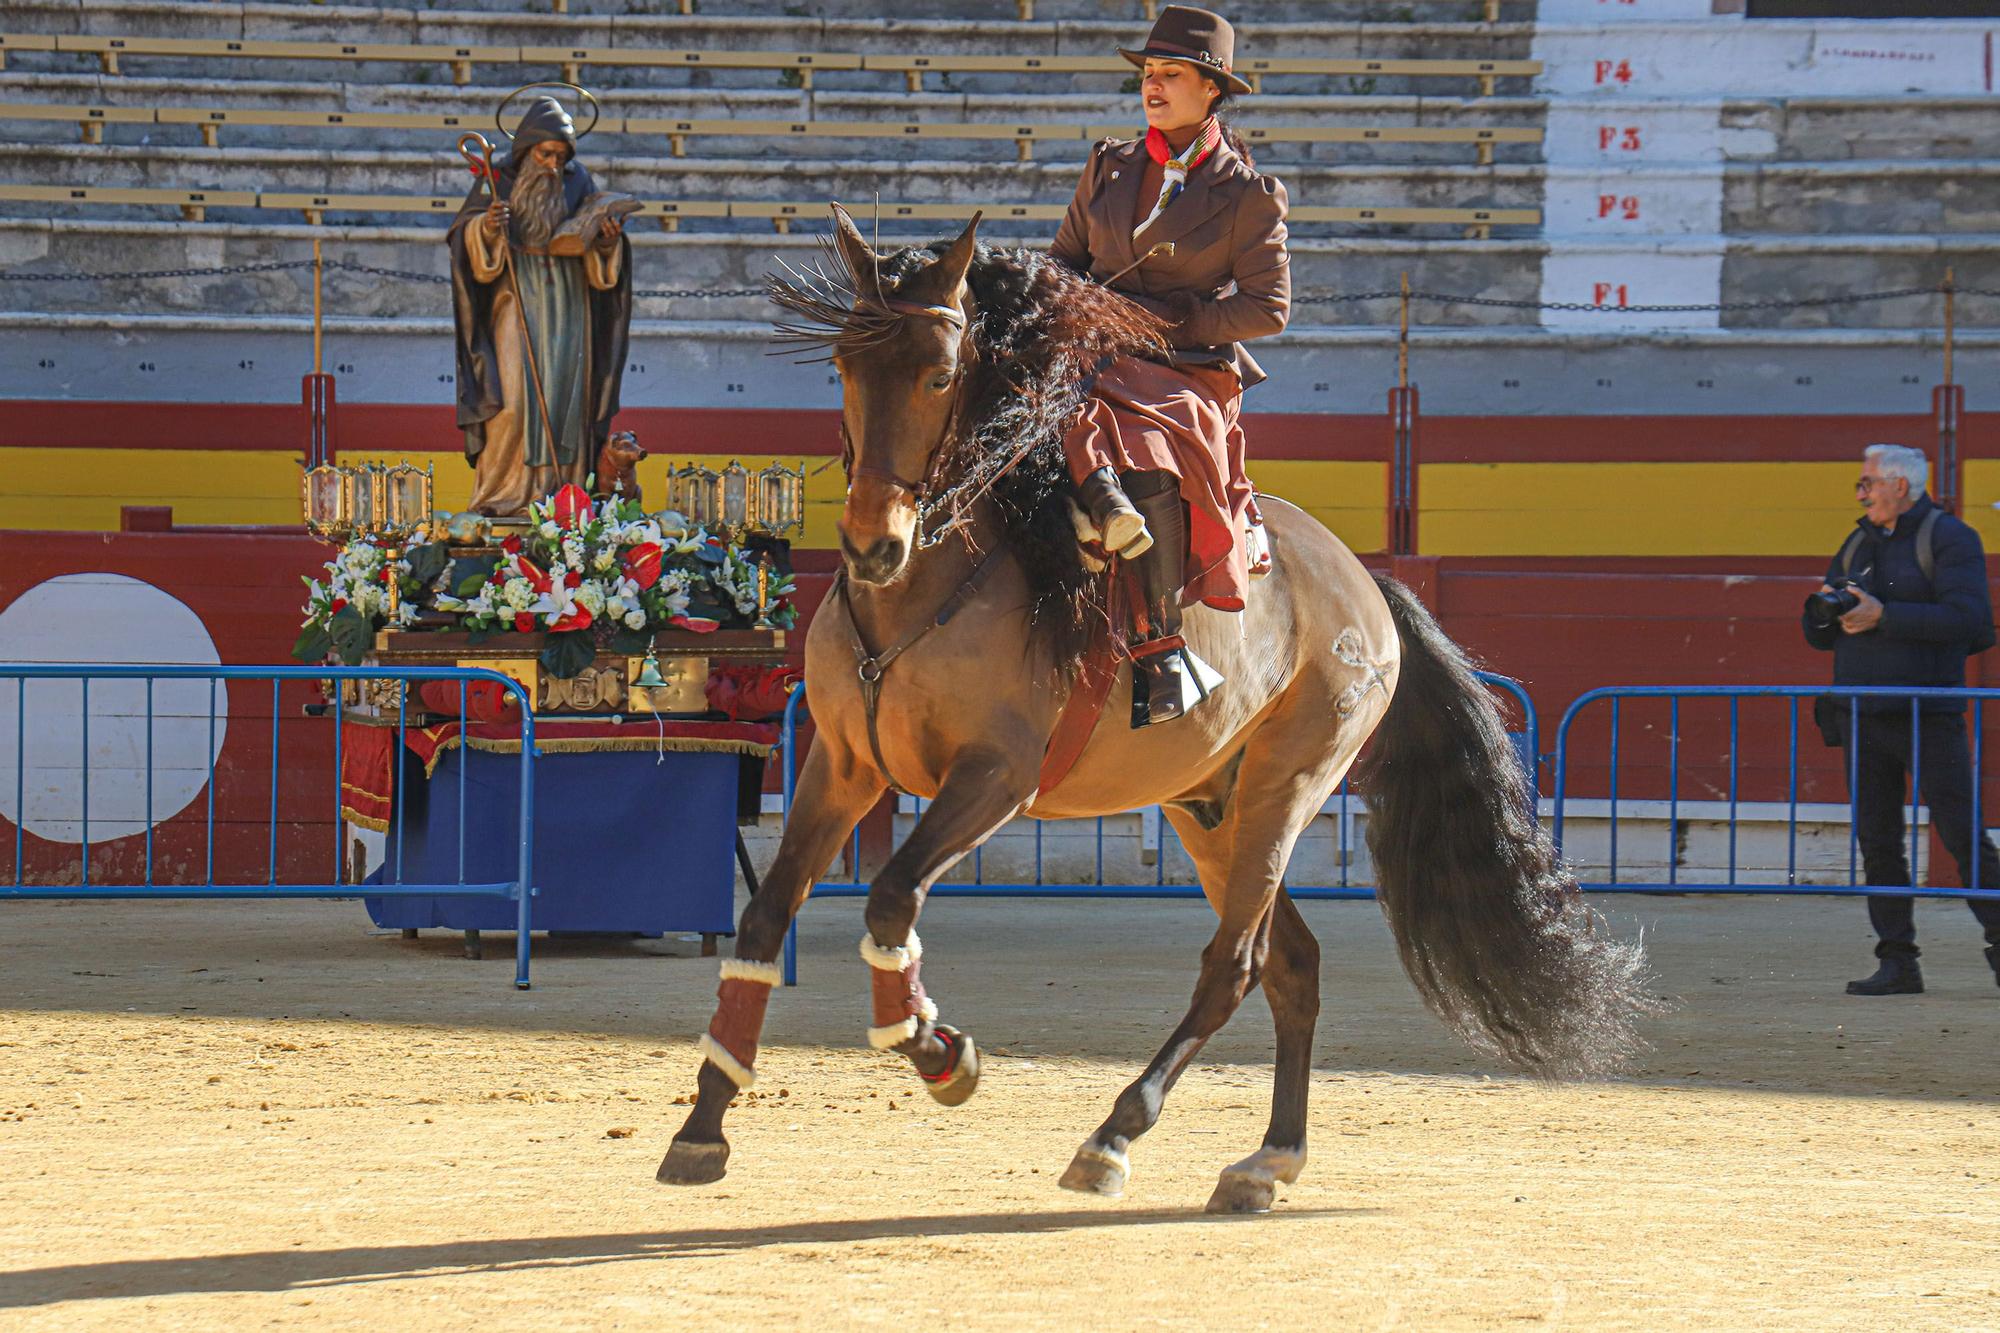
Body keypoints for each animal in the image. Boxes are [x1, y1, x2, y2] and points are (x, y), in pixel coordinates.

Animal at [660, 205, 1656, 1200]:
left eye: (940, 373)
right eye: (843, 367)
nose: (873, 544)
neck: (919, 591)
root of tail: (1364, 583)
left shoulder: (994, 777)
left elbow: (891, 896)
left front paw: (940, 1051)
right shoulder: (840, 765)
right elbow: (763, 918)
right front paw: (705, 1122)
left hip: (1285, 788)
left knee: (1235, 964)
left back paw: (1115, 1134)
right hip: (1208, 805)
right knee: (1292, 964)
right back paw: (1269, 1157)